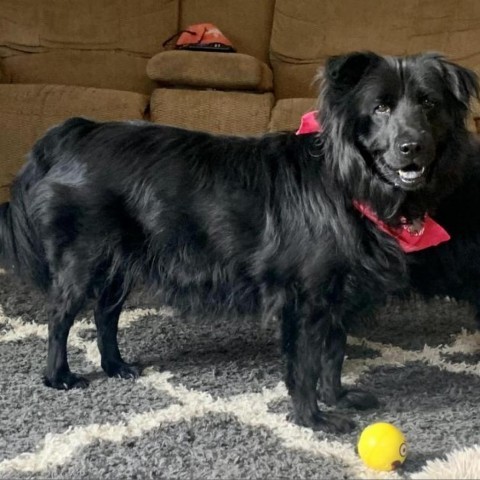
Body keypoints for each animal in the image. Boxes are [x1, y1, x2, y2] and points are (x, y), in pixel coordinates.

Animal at [1, 51, 478, 432]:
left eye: (429, 104)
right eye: (379, 107)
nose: (412, 147)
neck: (347, 184)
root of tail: (76, 131)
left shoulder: (336, 298)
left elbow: (334, 355)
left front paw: (338, 398)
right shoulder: (303, 301)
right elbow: (304, 366)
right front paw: (314, 419)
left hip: (122, 262)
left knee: (105, 314)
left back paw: (116, 366)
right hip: (83, 260)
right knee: (60, 318)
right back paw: (59, 377)